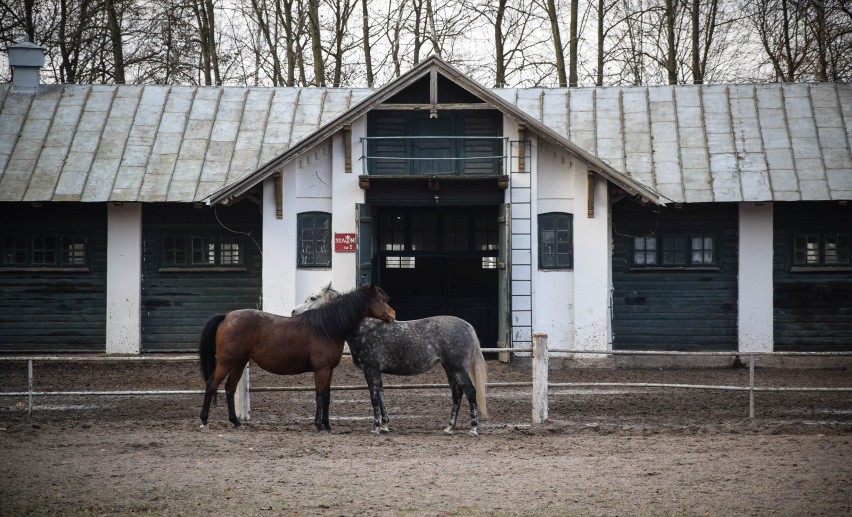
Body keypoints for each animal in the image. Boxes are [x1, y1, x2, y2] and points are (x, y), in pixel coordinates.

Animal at [200, 284, 396, 430]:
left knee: (229, 389)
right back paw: (204, 421)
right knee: (211, 385)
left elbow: (327, 396)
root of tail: (226, 317)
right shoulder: (321, 370)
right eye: (381, 300)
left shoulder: (329, 370)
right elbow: (320, 396)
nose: (393, 314)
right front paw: (319, 425)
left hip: (239, 363)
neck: (326, 328)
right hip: (226, 362)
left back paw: (236, 422)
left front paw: (327, 424)